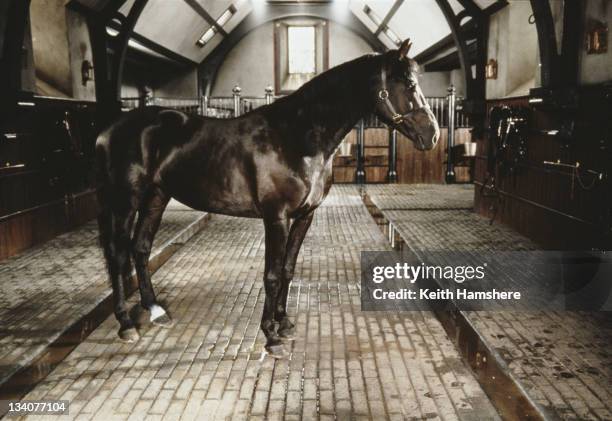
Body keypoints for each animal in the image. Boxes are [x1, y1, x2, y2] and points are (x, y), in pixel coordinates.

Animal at [95, 39, 438, 356]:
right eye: (408, 84)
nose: (432, 134)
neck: (296, 136)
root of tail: (108, 131)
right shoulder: (276, 217)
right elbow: (271, 275)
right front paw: (270, 336)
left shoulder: (304, 216)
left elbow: (287, 269)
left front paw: (284, 322)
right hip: (126, 201)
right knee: (118, 254)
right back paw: (126, 323)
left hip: (157, 196)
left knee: (141, 248)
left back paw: (154, 310)